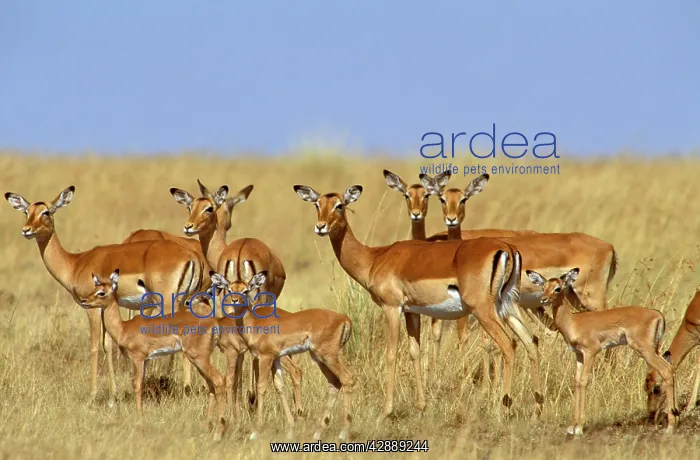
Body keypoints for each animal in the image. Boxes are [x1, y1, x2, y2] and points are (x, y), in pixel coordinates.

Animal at [4, 186, 206, 405]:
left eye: (46, 212)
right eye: (27, 211)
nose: (27, 230)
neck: (75, 263)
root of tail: (192, 256)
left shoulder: (91, 308)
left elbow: (94, 347)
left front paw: (92, 395)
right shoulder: (104, 309)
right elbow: (108, 346)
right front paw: (112, 395)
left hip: (168, 303)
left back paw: (184, 389)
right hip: (182, 302)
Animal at [80, 270, 227, 441]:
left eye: (102, 292)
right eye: (94, 287)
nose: (84, 300)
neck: (123, 329)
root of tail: (214, 324)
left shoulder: (137, 358)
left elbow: (137, 385)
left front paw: (139, 421)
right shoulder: (145, 360)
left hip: (199, 358)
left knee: (219, 380)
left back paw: (218, 432)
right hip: (200, 360)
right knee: (211, 385)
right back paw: (207, 428)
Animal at [210, 269, 355, 441]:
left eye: (246, 290)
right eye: (230, 289)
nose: (234, 300)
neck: (254, 324)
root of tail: (344, 319)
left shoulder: (265, 357)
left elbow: (261, 386)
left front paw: (256, 431)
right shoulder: (277, 358)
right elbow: (279, 386)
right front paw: (290, 430)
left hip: (328, 356)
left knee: (347, 379)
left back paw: (343, 433)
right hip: (319, 358)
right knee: (334, 383)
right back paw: (318, 432)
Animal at [294, 184, 542, 424]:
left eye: (340, 205)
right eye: (317, 204)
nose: (321, 227)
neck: (375, 258)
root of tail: (506, 248)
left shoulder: (391, 308)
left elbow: (391, 354)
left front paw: (385, 412)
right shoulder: (411, 311)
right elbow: (415, 352)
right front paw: (421, 407)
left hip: (484, 310)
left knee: (508, 345)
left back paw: (502, 410)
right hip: (507, 306)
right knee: (530, 342)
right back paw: (536, 410)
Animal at [527, 268, 679, 435]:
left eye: (558, 288)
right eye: (543, 286)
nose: (544, 299)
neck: (573, 322)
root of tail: (657, 314)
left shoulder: (591, 351)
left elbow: (584, 381)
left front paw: (579, 427)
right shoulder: (579, 355)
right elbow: (576, 382)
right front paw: (572, 426)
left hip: (645, 350)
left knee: (666, 370)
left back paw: (671, 426)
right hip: (654, 350)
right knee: (671, 368)